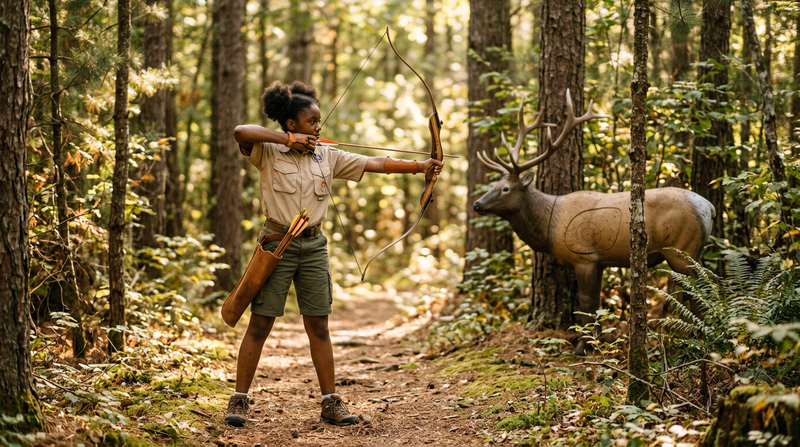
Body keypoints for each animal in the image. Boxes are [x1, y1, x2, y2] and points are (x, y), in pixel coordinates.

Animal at [472, 90, 716, 354]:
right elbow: (598, 301)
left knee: (701, 286)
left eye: (505, 188)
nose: (476, 204)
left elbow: (586, 302)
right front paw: (597, 341)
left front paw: (582, 345)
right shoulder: (600, 261)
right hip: (693, 250)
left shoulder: (584, 257)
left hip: (681, 248)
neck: (550, 223)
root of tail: (710, 208)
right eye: (495, 184)